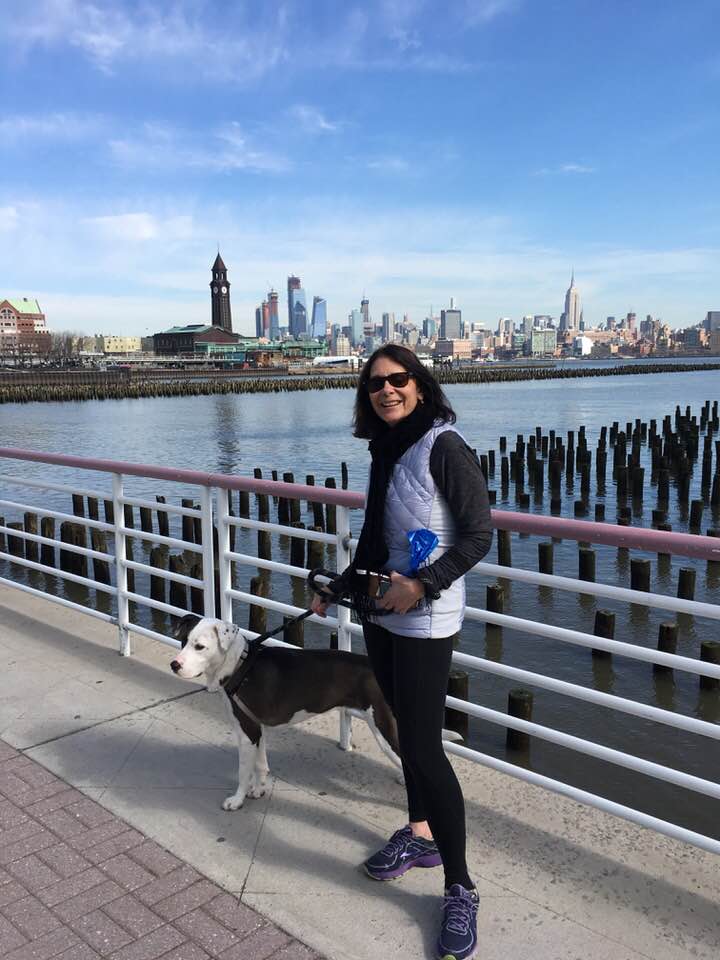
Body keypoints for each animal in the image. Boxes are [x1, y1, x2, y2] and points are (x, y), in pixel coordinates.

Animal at [171, 616, 402, 808]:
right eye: (183, 641)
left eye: (200, 647)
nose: (174, 665)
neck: (239, 665)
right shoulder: (257, 729)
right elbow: (260, 765)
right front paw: (258, 790)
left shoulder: (246, 732)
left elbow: (243, 771)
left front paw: (237, 800)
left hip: (384, 729)